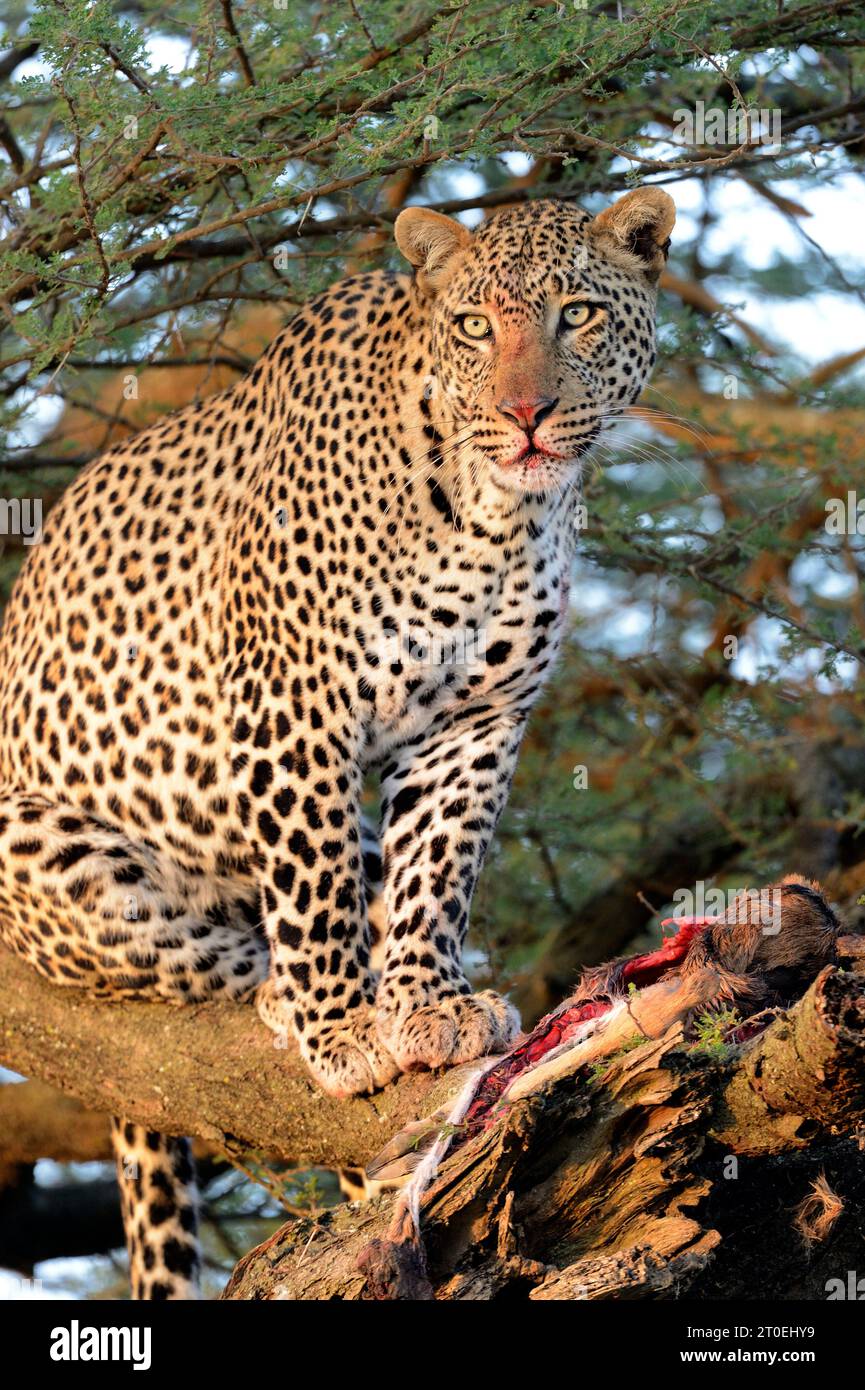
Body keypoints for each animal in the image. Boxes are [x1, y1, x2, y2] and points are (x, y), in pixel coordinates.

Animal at [0, 184, 678, 1289]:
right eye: (474, 327)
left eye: (576, 314)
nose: (524, 416)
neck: (493, 516)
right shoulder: (290, 699)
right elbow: (311, 880)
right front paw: (345, 1023)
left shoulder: (474, 722)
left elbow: (436, 871)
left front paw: (429, 1002)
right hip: (47, 852)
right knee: (187, 950)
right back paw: (286, 996)